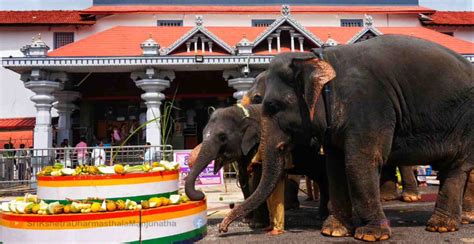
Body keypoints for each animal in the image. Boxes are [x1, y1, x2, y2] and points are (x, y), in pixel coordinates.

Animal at [219, 34, 474, 242]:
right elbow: (335, 166)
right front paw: (333, 231)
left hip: (464, 121)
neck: (317, 58)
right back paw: (456, 221)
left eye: (272, 106)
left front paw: (370, 235)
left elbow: (358, 161)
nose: (223, 229)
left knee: (456, 166)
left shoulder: (367, 103)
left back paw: (440, 227)